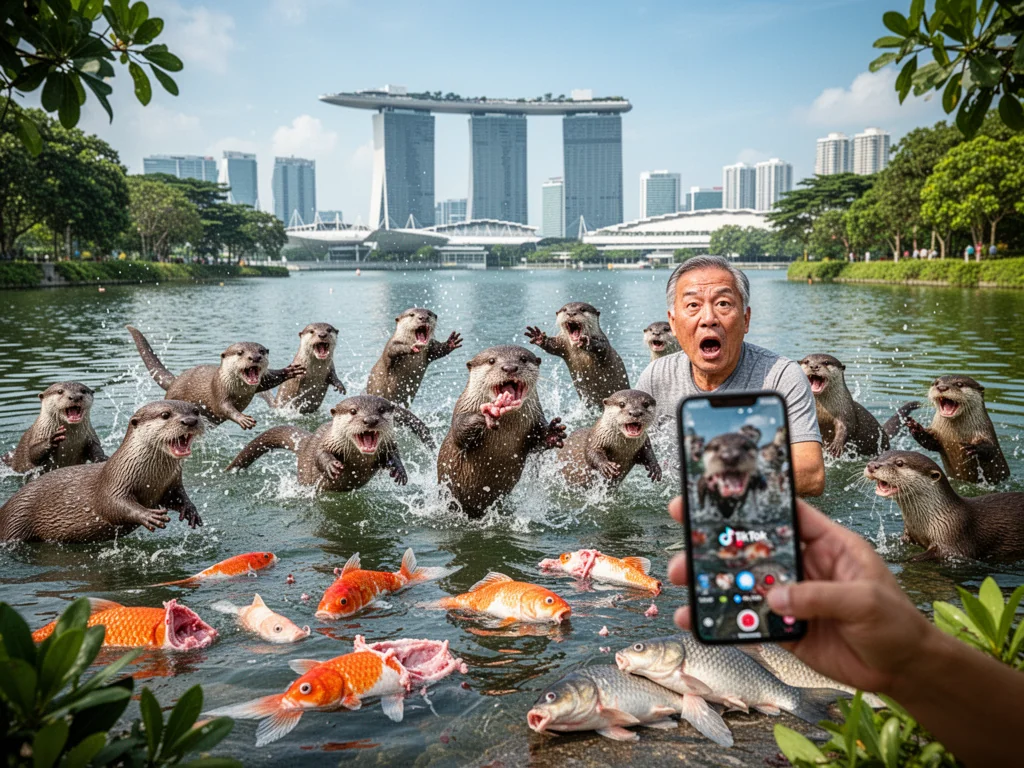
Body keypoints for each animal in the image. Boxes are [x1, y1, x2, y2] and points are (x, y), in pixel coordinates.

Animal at [0, 400, 204, 543]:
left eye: (196, 411)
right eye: (165, 414)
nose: (190, 421)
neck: (151, 478)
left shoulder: (172, 483)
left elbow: (178, 497)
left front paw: (191, 510)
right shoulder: (114, 481)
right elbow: (112, 504)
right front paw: (148, 515)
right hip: (15, 522)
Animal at [126, 326, 305, 430]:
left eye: (261, 351)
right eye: (240, 352)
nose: (255, 357)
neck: (240, 390)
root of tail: (175, 381)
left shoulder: (259, 383)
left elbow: (270, 380)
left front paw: (290, 371)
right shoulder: (219, 389)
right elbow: (225, 407)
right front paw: (243, 419)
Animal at [225, 395, 433, 492]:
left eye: (381, 410)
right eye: (353, 411)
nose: (370, 420)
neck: (359, 458)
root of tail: (305, 442)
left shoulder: (388, 444)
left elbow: (394, 453)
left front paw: (399, 470)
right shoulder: (328, 442)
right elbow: (320, 454)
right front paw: (332, 465)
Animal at [437, 345, 566, 518]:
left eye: (523, 359)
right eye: (491, 360)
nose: (510, 367)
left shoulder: (536, 417)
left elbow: (537, 442)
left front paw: (552, 433)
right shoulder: (461, 411)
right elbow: (459, 433)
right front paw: (487, 415)